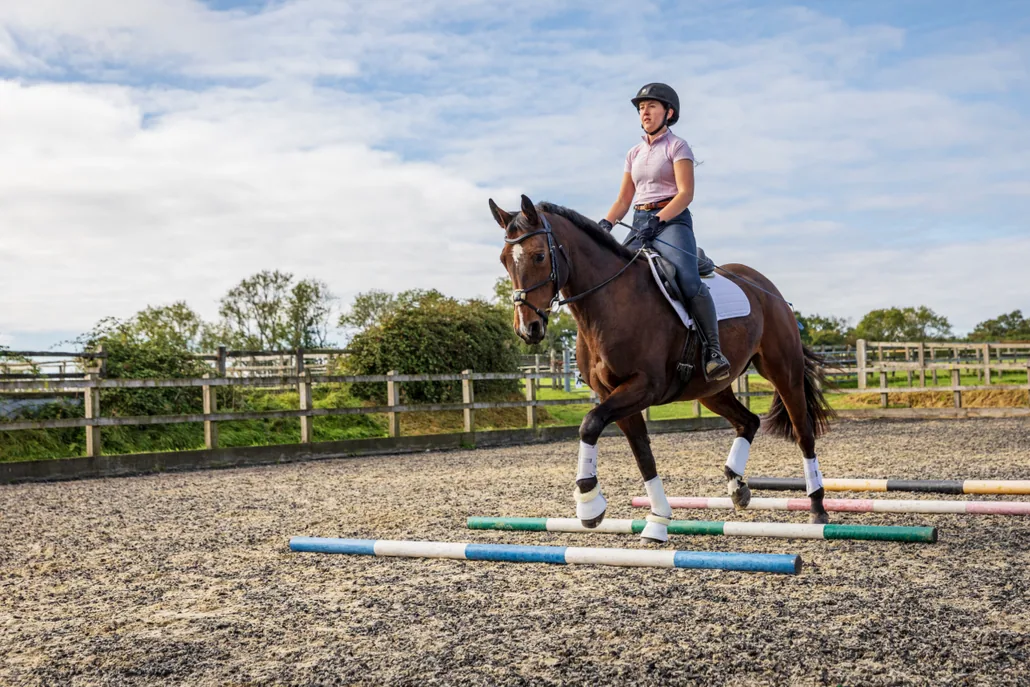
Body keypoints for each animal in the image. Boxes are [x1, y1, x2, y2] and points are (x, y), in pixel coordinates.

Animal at [489, 194, 835, 543]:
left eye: (539, 256)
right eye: (504, 260)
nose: (527, 329)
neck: (610, 302)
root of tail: (767, 288)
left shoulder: (645, 387)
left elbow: (589, 424)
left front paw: (589, 504)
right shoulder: (612, 393)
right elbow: (642, 454)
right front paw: (657, 520)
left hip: (783, 371)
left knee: (803, 433)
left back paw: (817, 507)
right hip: (710, 389)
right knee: (748, 421)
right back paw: (737, 487)